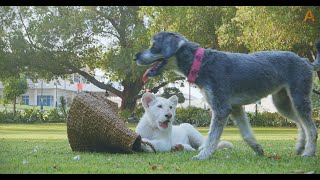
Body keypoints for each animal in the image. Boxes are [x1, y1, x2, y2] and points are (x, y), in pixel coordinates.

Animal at [134, 31, 320, 160]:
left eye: (154, 45)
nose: (136, 56)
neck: (201, 63)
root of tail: (305, 61)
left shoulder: (221, 108)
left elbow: (212, 136)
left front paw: (203, 155)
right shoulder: (236, 108)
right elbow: (246, 134)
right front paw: (257, 149)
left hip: (299, 99)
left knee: (311, 128)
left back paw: (308, 153)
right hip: (283, 103)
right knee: (300, 123)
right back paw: (300, 147)